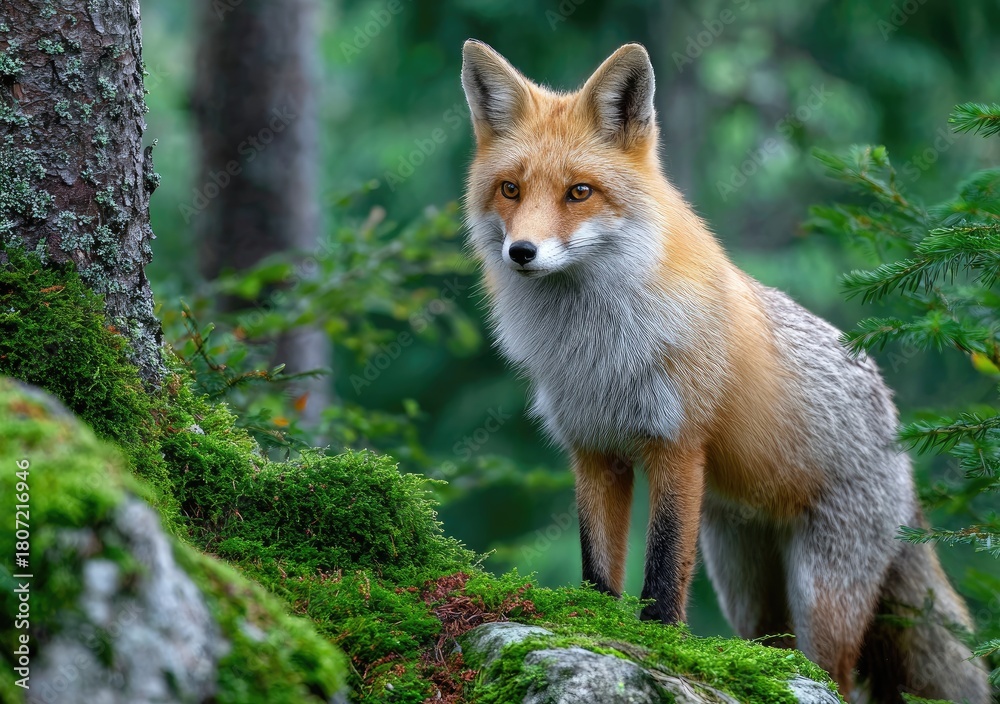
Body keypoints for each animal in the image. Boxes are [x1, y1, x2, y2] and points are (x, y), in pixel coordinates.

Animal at [459, 39, 991, 703]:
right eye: (510, 189)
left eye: (579, 193)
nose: (522, 252)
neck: (597, 349)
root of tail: (900, 435)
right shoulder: (594, 450)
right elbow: (597, 566)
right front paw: (595, 626)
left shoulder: (677, 445)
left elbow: (663, 571)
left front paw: (660, 645)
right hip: (746, 585)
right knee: (775, 648)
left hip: (821, 593)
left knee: (837, 676)